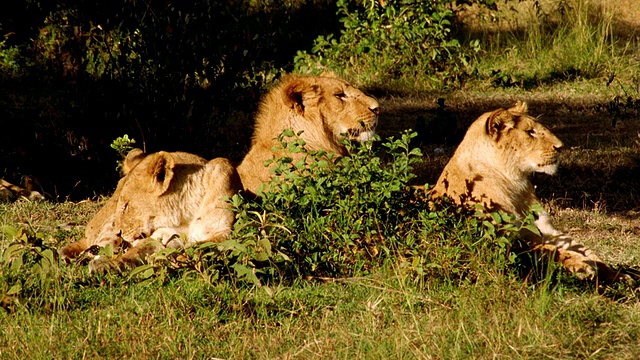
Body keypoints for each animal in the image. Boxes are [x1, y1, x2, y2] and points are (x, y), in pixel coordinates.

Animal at [60, 148, 241, 272]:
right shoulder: (160, 235)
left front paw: (181, 258)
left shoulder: (223, 232)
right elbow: (136, 251)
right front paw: (108, 265)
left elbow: (200, 246)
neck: (184, 217)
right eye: (120, 203)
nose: (119, 231)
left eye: (126, 205)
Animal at [432, 101, 628, 284]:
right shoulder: (498, 239)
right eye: (529, 132)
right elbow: (544, 250)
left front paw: (620, 276)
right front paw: (581, 265)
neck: (515, 184)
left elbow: (588, 251)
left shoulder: (547, 230)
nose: (561, 147)